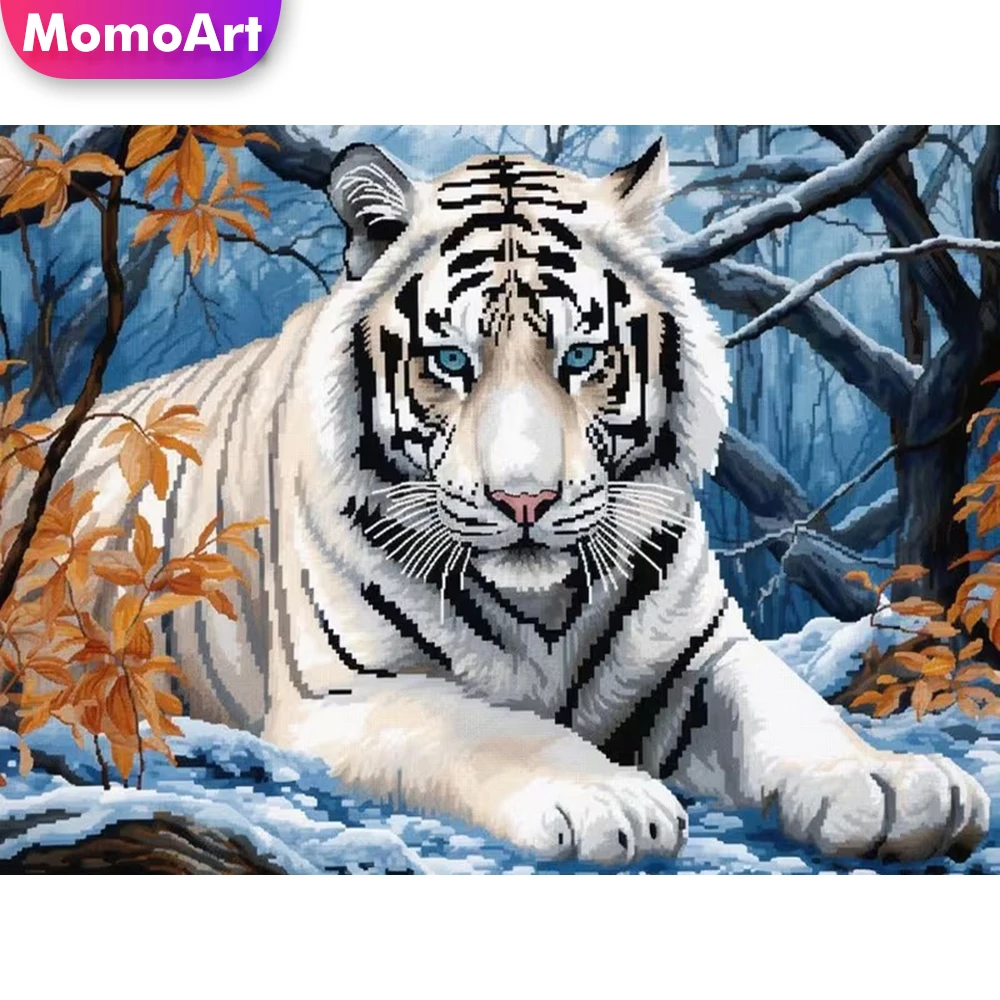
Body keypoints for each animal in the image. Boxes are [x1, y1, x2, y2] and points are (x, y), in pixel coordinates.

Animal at [19, 139, 989, 865]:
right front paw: (608, 799)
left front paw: (893, 787)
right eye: (451, 361)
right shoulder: (349, 694)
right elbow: (489, 728)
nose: (526, 500)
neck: (546, 605)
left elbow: (790, 706)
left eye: (581, 356)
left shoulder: (699, 654)